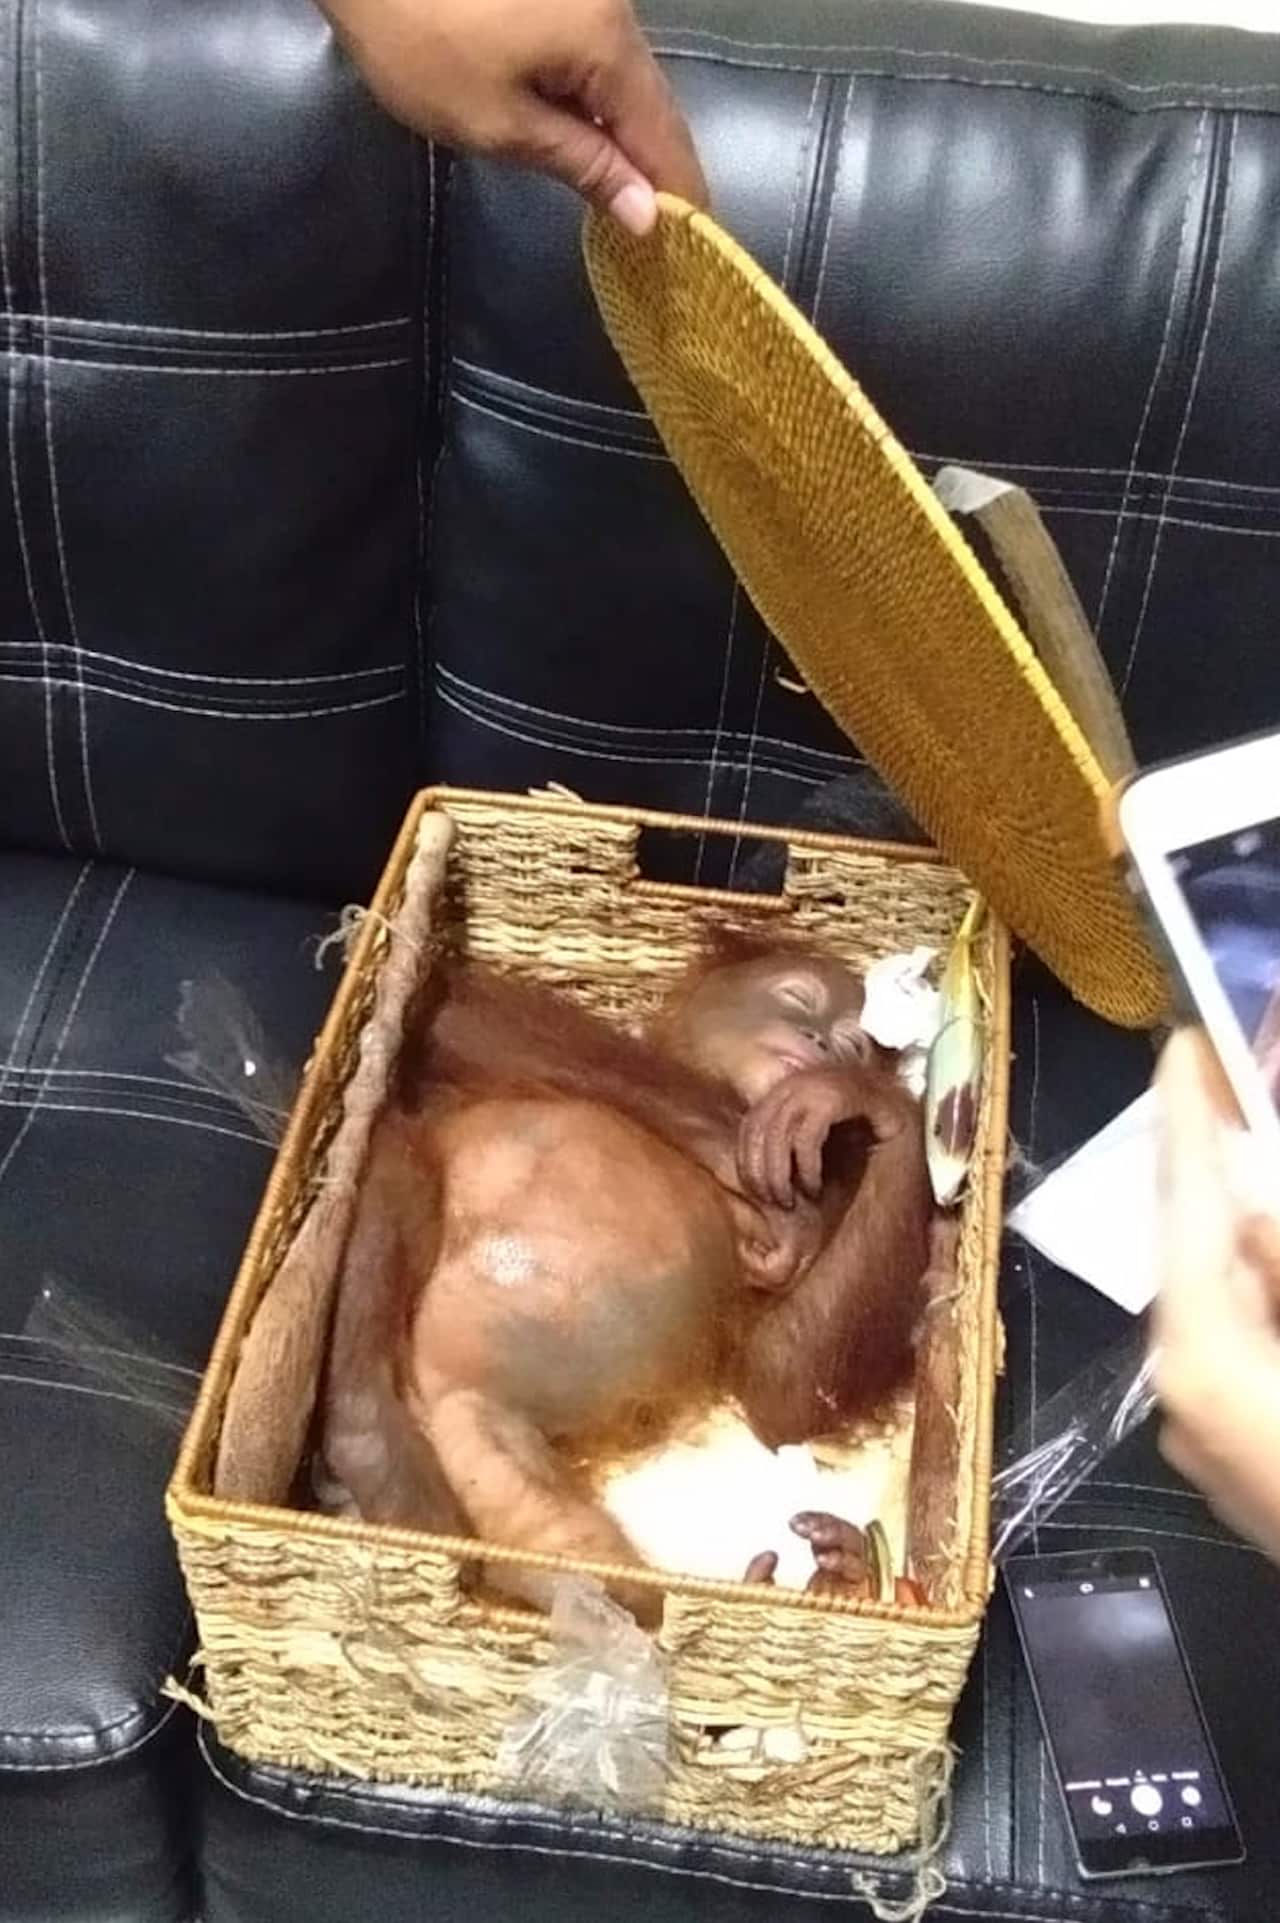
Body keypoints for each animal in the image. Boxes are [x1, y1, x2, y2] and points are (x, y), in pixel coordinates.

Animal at [318, 941, 935, 1615]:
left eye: (853, 1045)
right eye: (797, 998)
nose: (822, 1044)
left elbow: (779, 1391)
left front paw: (860, 1098)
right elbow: (445, 1010)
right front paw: (748, 1151)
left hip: (485, 1452)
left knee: (599, 1581)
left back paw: (832, 1574)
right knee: (390, 1148)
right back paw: (372, 1443)